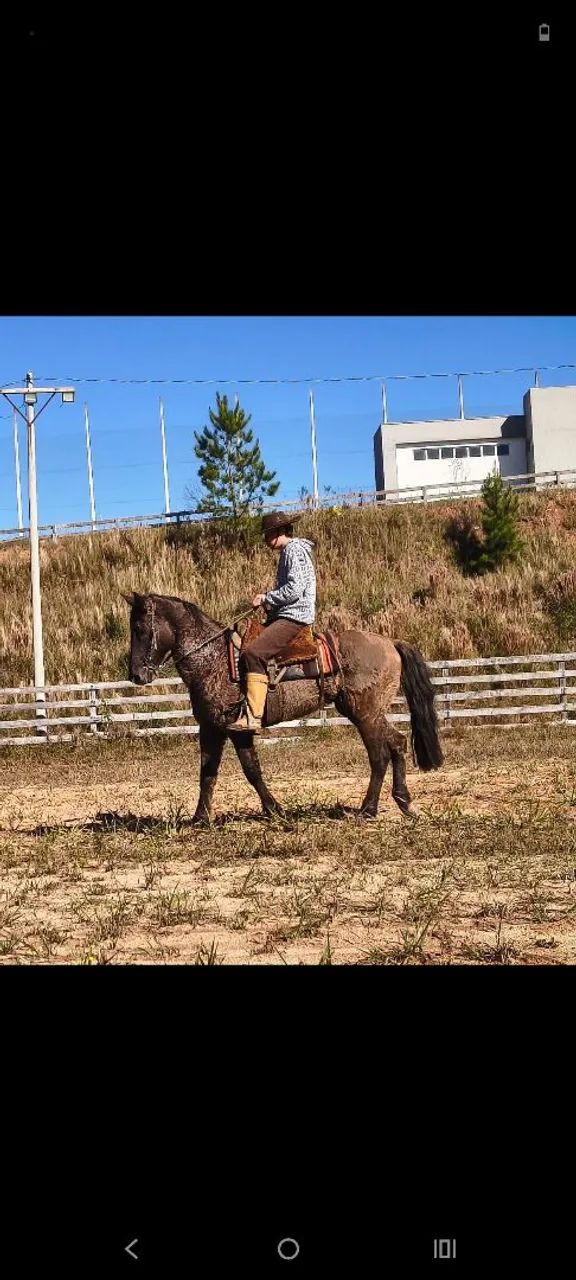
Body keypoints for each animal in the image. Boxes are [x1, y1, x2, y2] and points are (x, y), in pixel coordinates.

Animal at [122, 592, 444, 824]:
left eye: (139, 628)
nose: (136, 675)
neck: (214, 660)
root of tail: (390, 642)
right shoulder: (211, 728)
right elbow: (208, 772)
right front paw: (200, 818)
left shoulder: (237, 729)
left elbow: (251, 771)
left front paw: (275, 811)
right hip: (369, 713)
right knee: (397, 743)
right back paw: (403, 801)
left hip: (365, 714)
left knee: (379, 755)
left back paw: (368, 810)